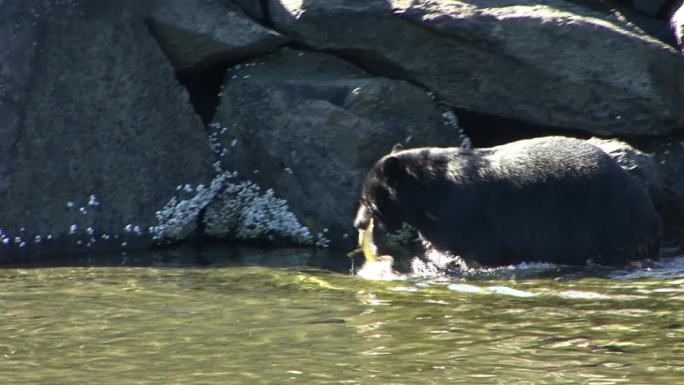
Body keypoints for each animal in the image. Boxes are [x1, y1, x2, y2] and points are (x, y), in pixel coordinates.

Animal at [356, 136, 660, 266]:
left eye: (369, 201)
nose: (358, 223)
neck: (428, 192)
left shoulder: (464, 211)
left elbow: (471, 247)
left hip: (605, 220)